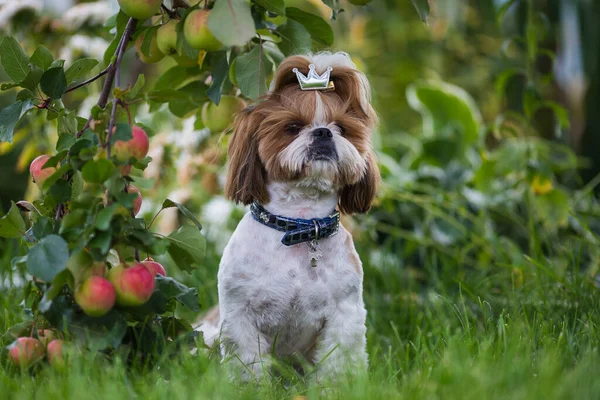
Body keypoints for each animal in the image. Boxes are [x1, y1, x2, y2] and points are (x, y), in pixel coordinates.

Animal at [198, 51, 380, 380]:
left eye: (342, 128)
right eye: (293, 127)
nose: (323, 132)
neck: (299, 225)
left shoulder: (344, 316)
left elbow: (338, 363)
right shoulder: (241, 315)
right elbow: (247, 364)